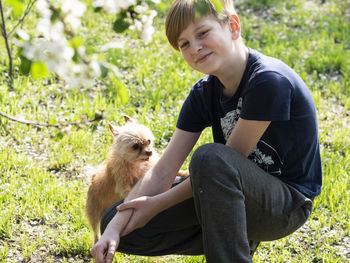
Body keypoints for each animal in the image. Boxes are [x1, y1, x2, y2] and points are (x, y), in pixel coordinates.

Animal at [86, 116, 159, 244]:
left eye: (149, 141)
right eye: (135, 146)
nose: (149, 152)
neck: (135, 164)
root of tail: (93, 178)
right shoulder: (123, 184)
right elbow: (128, 193)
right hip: (94, 214)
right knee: (95, 231)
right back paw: (97, 240)